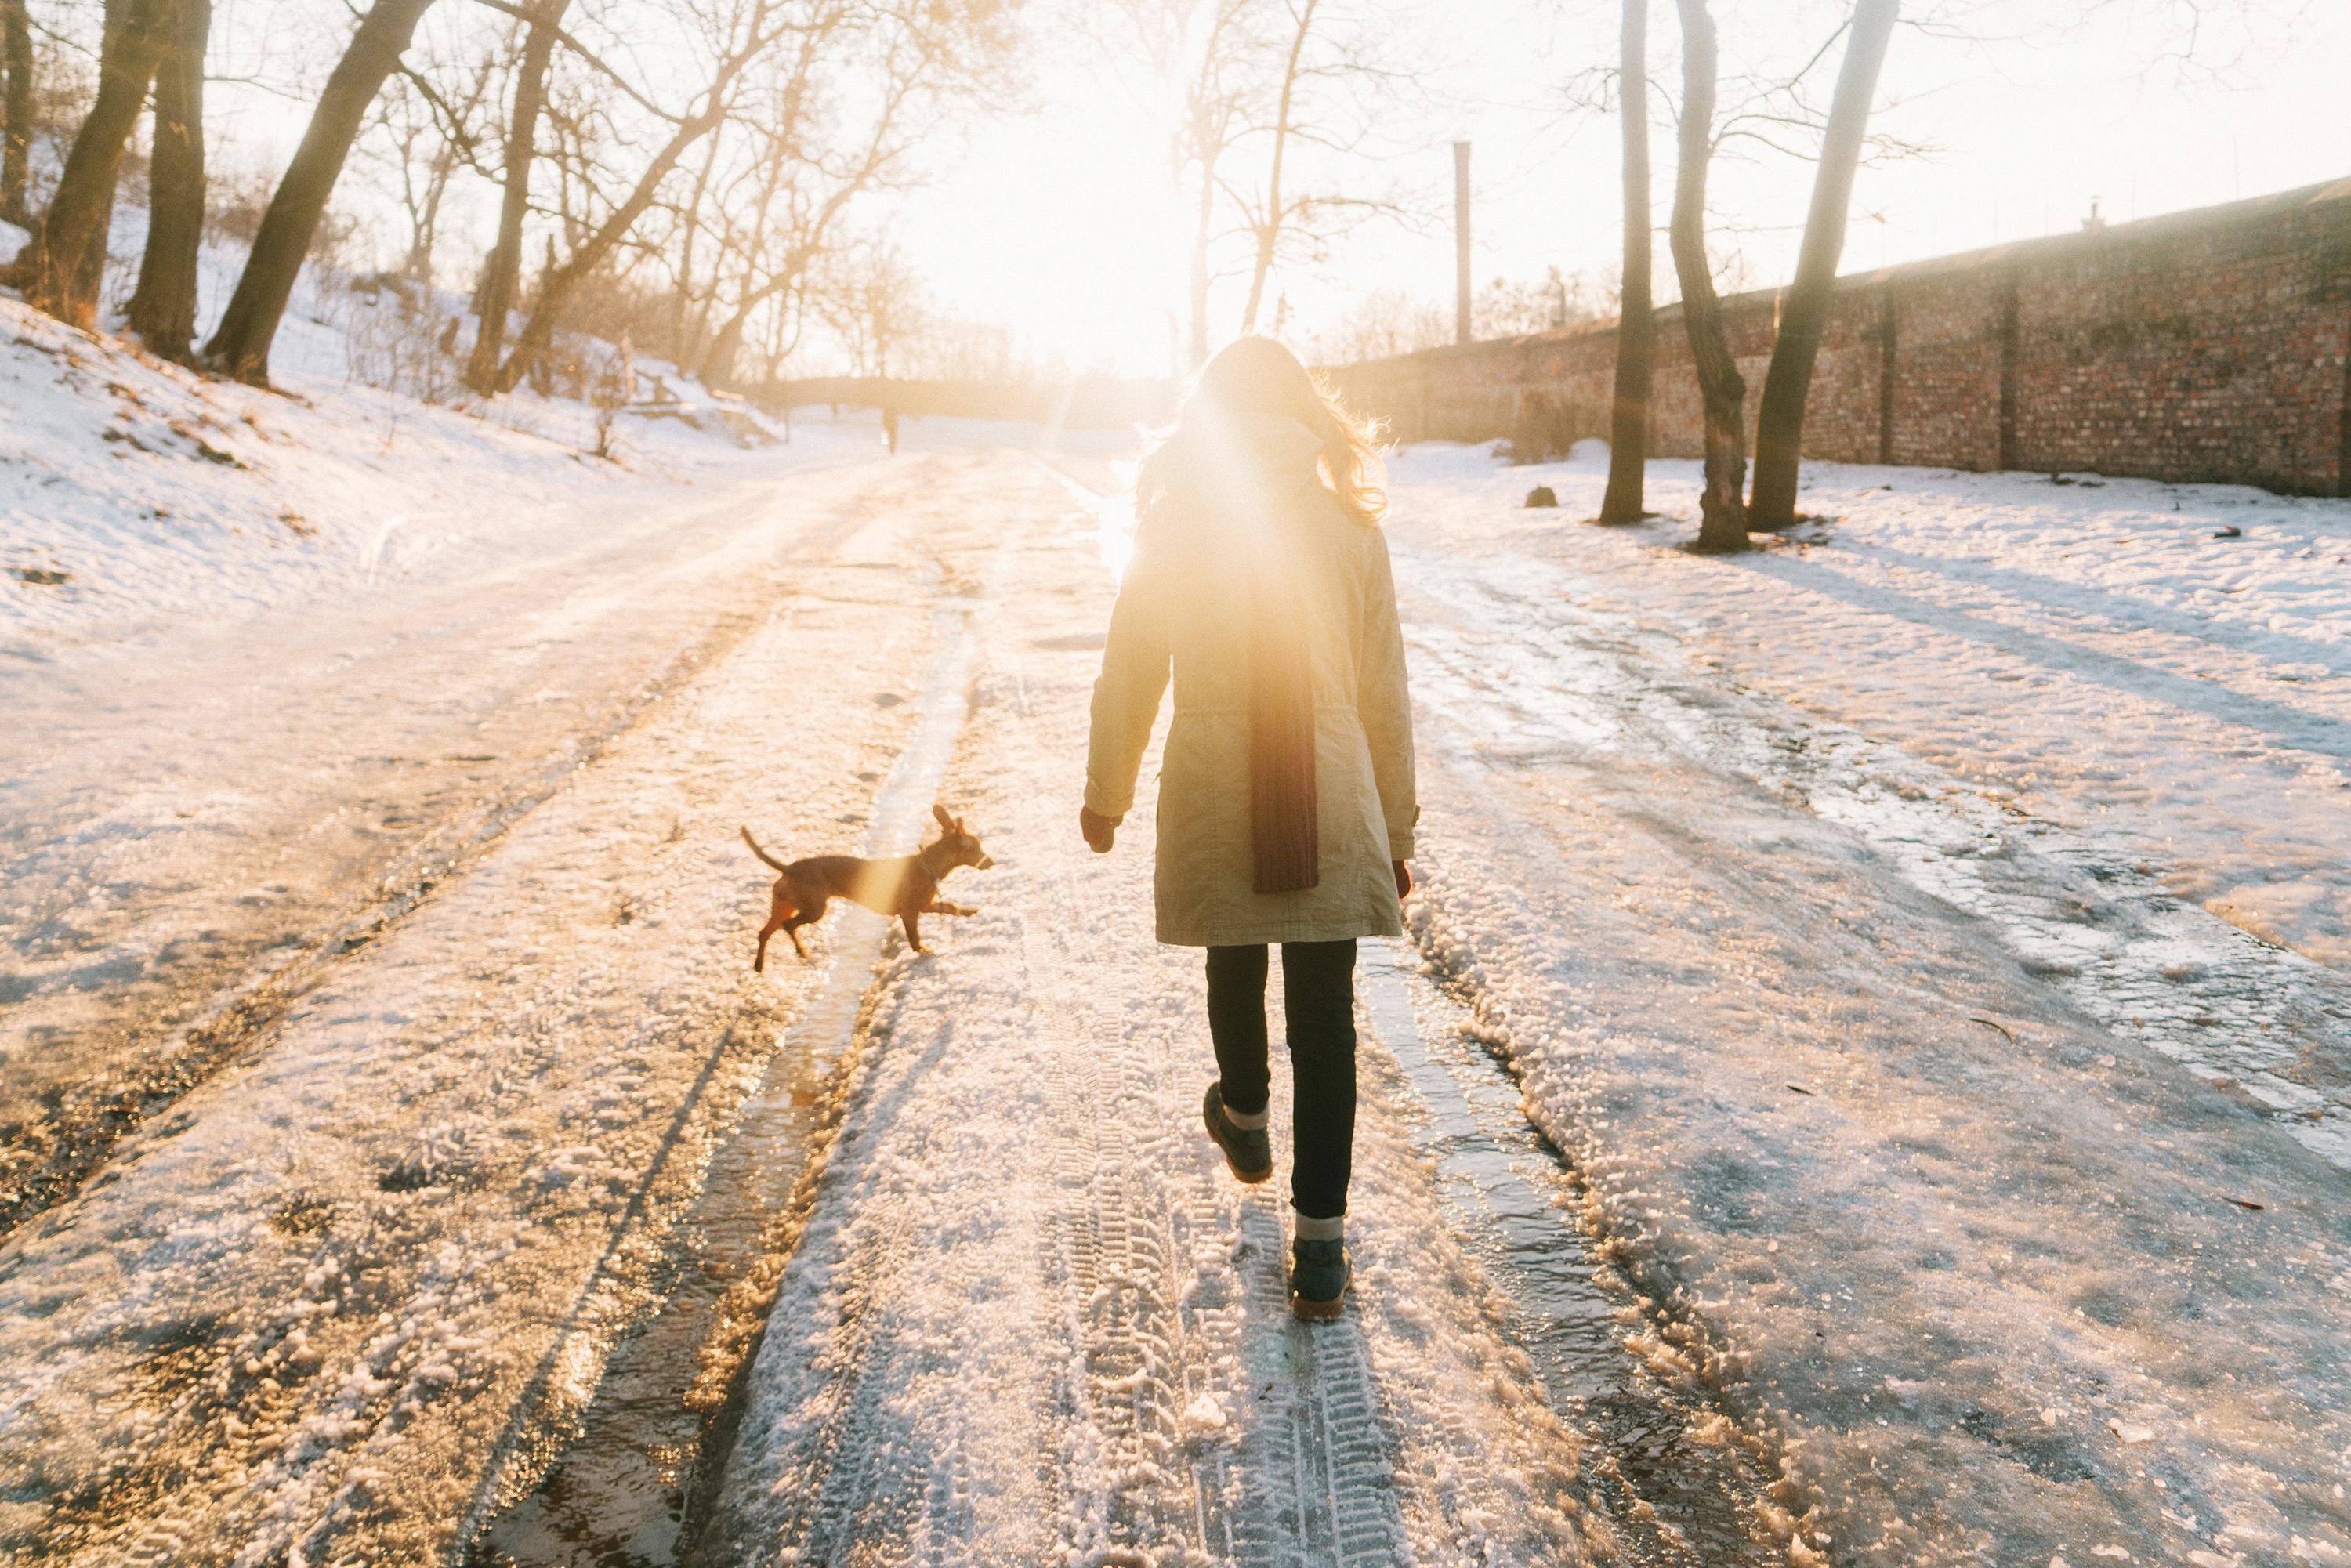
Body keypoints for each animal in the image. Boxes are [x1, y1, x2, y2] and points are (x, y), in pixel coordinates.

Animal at [738, 809, 987, 969]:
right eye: (977, 848)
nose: (991, 862)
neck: (927, 865)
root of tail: (789, 868)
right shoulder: (909, 913)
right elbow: (915, 940)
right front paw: (925, 954)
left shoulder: (925, 906)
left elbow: (951, 906)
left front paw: (969, 911)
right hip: (814, 909)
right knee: (788, 926)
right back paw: (800, 952)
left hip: (783, 906)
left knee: (765, 932)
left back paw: (759, 965)